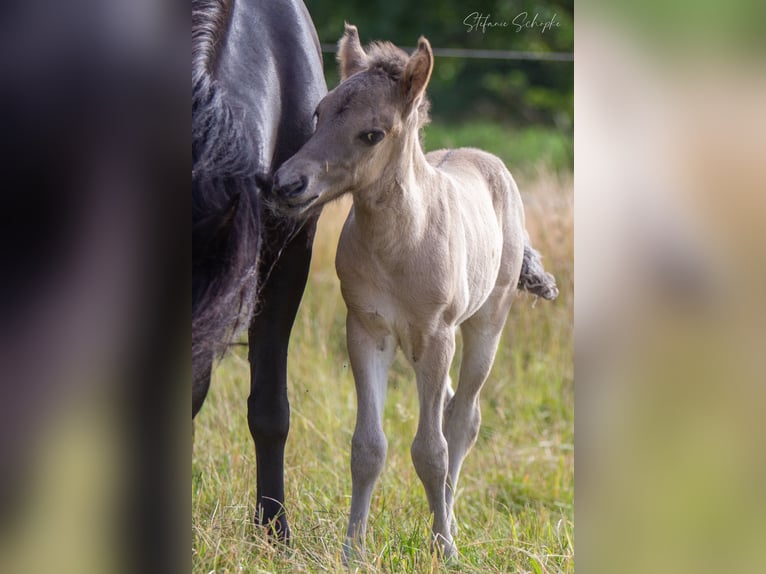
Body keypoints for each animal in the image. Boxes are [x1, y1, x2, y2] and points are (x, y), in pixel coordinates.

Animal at [271, 24, 558, 560]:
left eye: (372, 134)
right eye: (319, 113)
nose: (286, 183)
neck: (400, 242)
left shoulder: (437, 335)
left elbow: (432, 449)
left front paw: (444, 548)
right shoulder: (366, 331)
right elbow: (367, 447)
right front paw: (352, 551)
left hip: (486, 323)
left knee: (463, 418)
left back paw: (449, 522)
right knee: (447, 407)